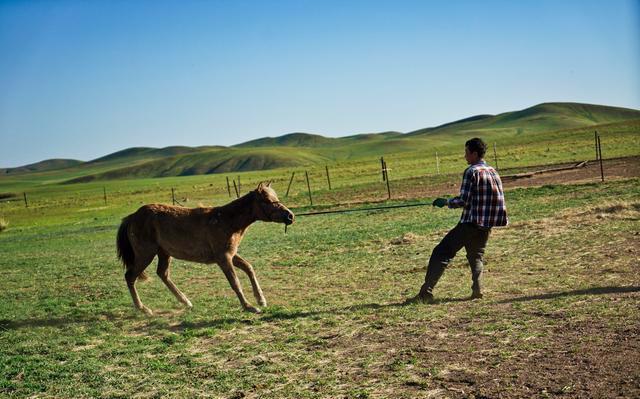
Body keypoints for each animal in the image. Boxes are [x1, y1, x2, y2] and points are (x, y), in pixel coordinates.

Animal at [116, 182, 294, 316]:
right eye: (267, 200)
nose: (290, 216)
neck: (227, 221)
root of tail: (132, 217)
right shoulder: (223, 258)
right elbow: (235, 282)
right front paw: (249, 306)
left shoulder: (230, 255)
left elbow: (249, 268)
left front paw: (260, 299)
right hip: (145, 255)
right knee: (130, 276)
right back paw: (143, 309)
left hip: (163, 253)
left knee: (163, 274)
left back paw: (185, 302)